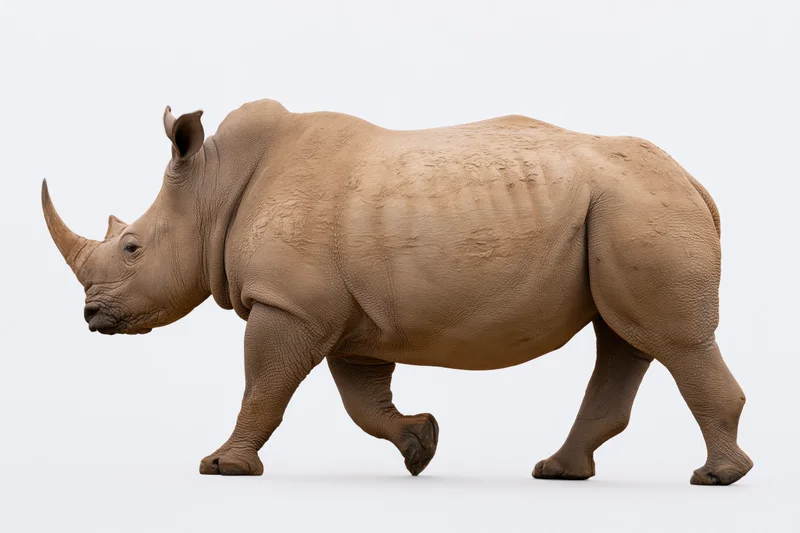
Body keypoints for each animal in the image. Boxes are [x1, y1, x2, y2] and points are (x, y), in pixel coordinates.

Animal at [42, 99, 753, 485]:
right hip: (624, 206)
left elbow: (263, 387)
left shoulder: (286, 304)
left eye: (132, 247)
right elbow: (362, 400)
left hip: (638, 206)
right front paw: (421, 445)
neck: (212, 192)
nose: (90, 315)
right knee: (623, 338)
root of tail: (696, 183)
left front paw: (221, 467)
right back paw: (559, 472)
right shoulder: (342, 319)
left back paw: (716, 478)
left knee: (672, 341)